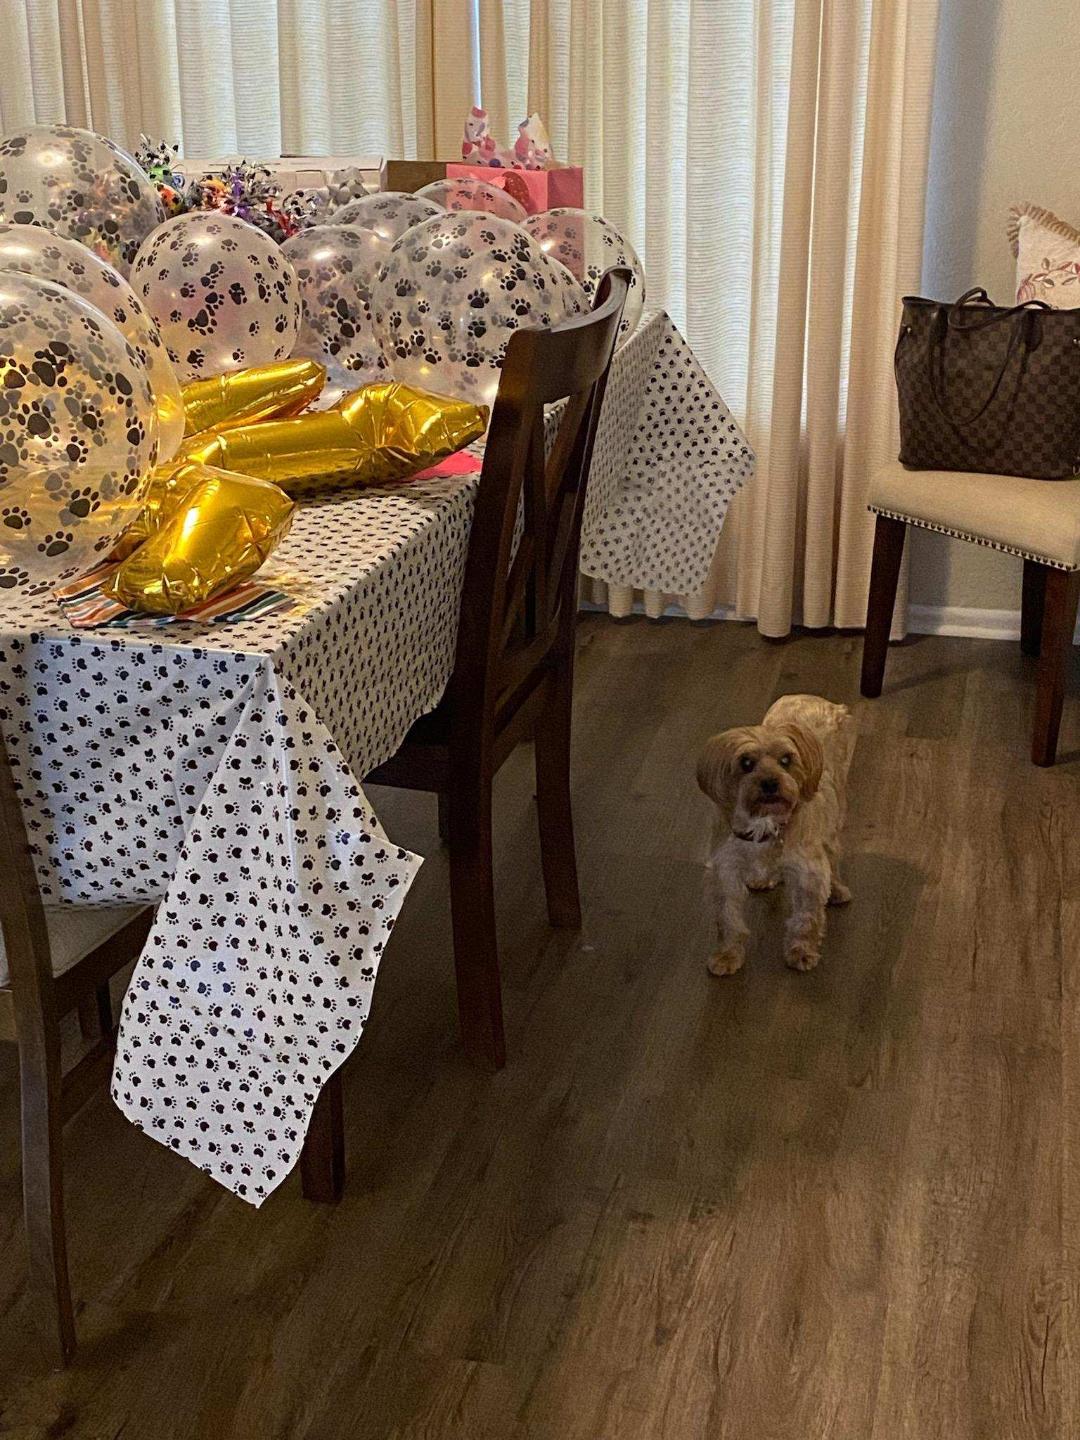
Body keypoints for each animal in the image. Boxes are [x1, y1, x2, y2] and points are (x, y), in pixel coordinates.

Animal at [696, 691, 858, 973]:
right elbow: (728, 918)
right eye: (746, 763)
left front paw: (801, 951)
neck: (765, 822)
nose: (771, 783)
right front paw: (727, 955)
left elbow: (805, 918)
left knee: (833, 852)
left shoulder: (808, 872)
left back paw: (837, 888)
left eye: (786, 760)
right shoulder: (725, 870)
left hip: (836, 808)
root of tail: (811, 697)